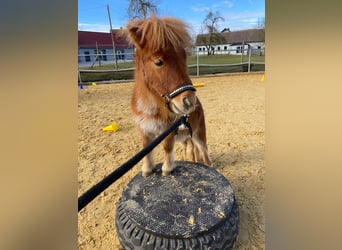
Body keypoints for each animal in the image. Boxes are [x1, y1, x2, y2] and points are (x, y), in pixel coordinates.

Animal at [125, 15, 212, 177]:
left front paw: (167, 168)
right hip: (186, 138)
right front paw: (147, 169)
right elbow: (146, 148)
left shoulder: (168, 131)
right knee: (191, 150)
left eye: (184, 58)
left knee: (205, 155)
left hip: (199, 135)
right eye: (159, 62)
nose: (189, 101)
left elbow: (167, 147)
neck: (151, 108)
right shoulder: (144, 130)